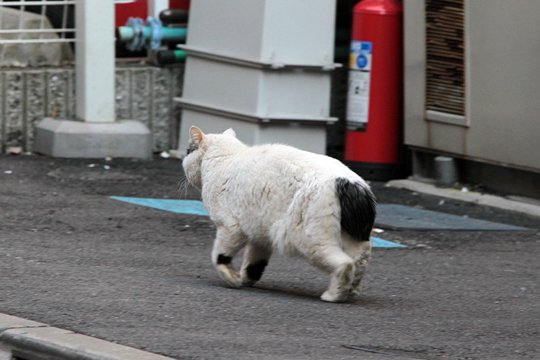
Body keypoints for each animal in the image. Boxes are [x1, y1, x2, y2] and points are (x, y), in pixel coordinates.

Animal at [181, 126, 376, 300]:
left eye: (188, 151)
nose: (184, 157)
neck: (226, 157)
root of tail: (349, 183)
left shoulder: (230, 227)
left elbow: (219, 256)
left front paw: (232, 278)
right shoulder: (260, 232)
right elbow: (254, 263)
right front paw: (245, 279)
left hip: (310, 239)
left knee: (345, 264)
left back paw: (334, 296)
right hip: (351, 239)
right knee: (360, 261)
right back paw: (351, 291)